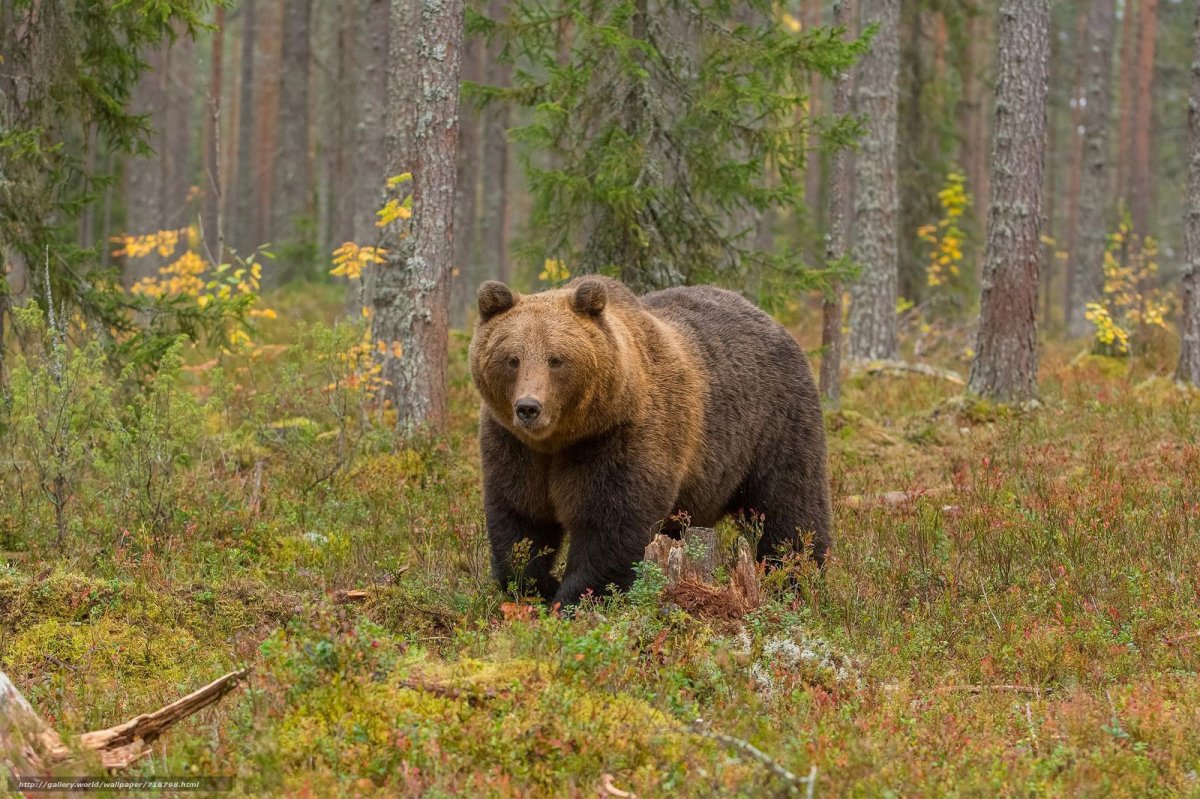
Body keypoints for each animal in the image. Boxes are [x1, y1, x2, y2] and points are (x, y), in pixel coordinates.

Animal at [470, 273, 835, 604]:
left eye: (556, 359)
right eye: (512, 359)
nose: (528, 408)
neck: (561, 439)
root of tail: (771, 320)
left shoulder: (621, 436)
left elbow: (611, 523)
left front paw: (574, 598)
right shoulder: (513, 445)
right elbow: (521, 517)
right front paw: (536, 586)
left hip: (775, 423)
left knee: (790, 506)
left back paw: (795, 577)